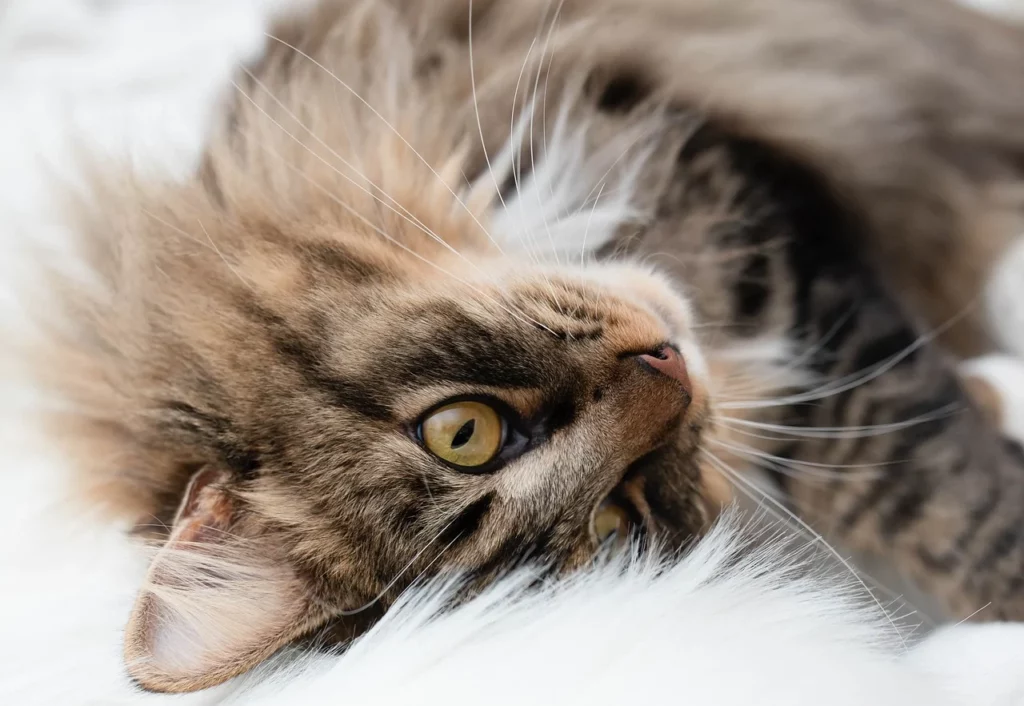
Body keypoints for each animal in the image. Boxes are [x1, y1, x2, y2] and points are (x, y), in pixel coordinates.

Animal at [22, 0, 1024, 692]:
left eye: (463, 432)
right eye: (617, 518)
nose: (669, 372)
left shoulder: (734, 210)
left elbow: (930, 485)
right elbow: (929, 486)